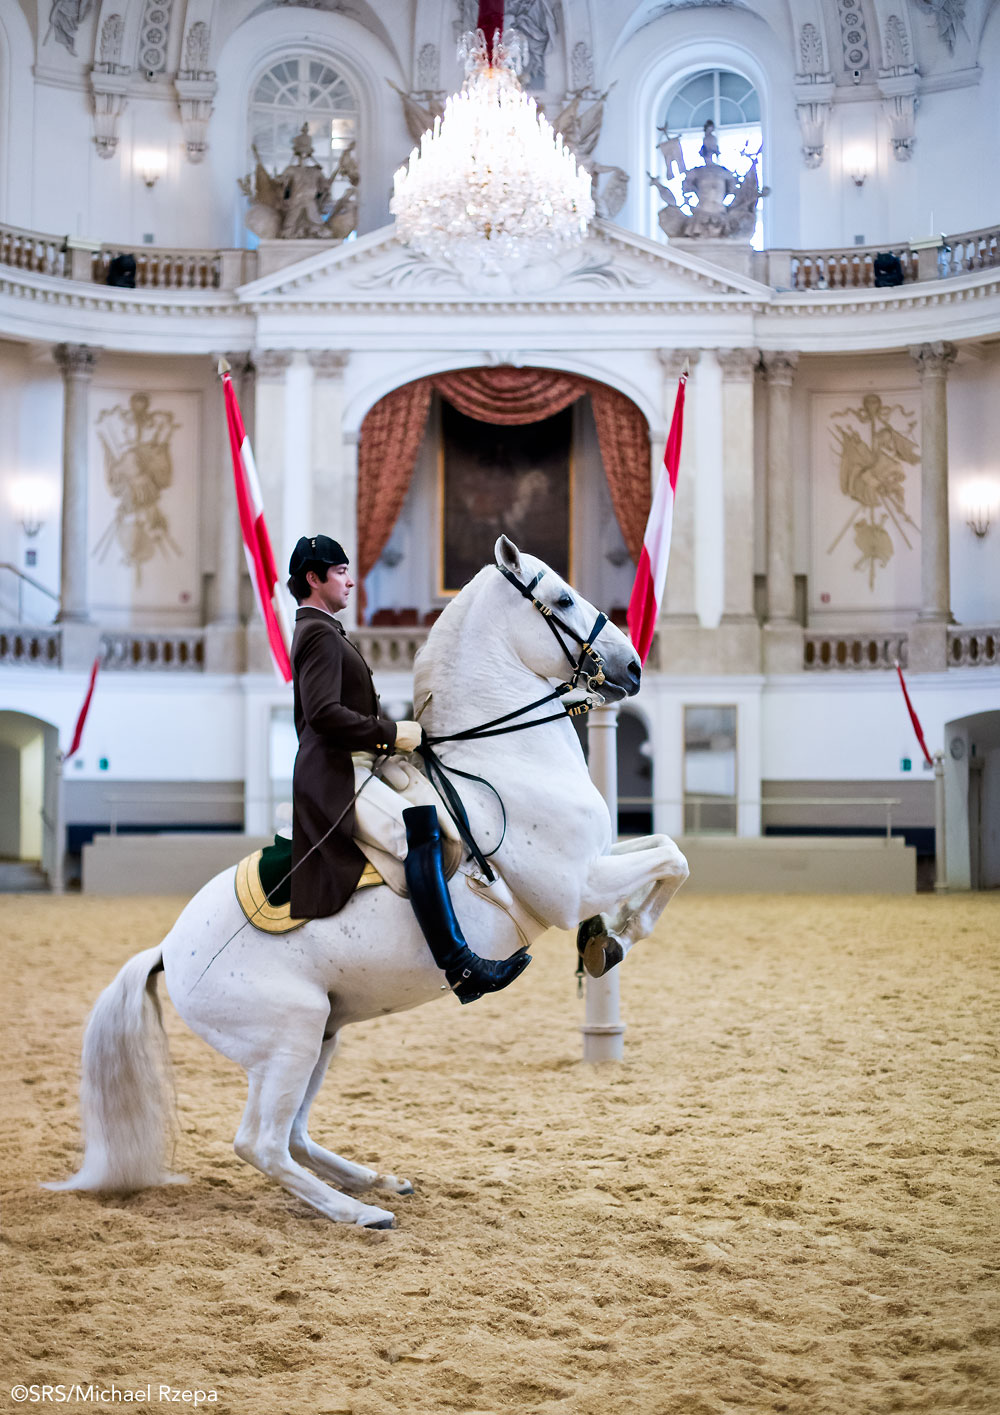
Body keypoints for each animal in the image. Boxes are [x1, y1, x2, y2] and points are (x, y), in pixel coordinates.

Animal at [47, 537, 687, 1228]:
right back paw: (359, 1213)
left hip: (323, 1032)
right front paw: (616, 937)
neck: (504, 760)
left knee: (295, 1136)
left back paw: (376, 1181)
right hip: (291, 1034)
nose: (632, 667)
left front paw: (605, 939)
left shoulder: (597, 861)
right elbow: (671, 861)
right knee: (261, 1144)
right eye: (563, 598)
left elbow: (664, 848)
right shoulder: (572, 886)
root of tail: (168, 950)